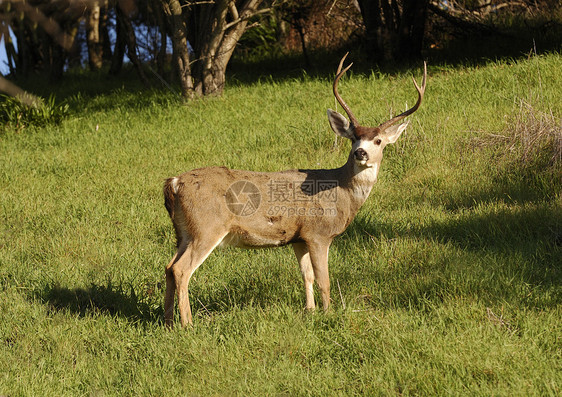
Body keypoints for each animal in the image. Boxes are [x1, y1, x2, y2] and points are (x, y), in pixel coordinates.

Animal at [162, 53, 424, 324]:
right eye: (353, 138)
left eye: (378, 140)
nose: (360, 152)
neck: (340, 190)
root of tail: (175, 182)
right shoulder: (318, 233)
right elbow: (323, 279)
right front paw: (328, 313)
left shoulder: (299, 237)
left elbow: (306, 275)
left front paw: (310, 310)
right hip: (207, 226)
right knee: (181, 269)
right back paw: (188, 324)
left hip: (184, 231)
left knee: (169, 267)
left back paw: (169, 322)